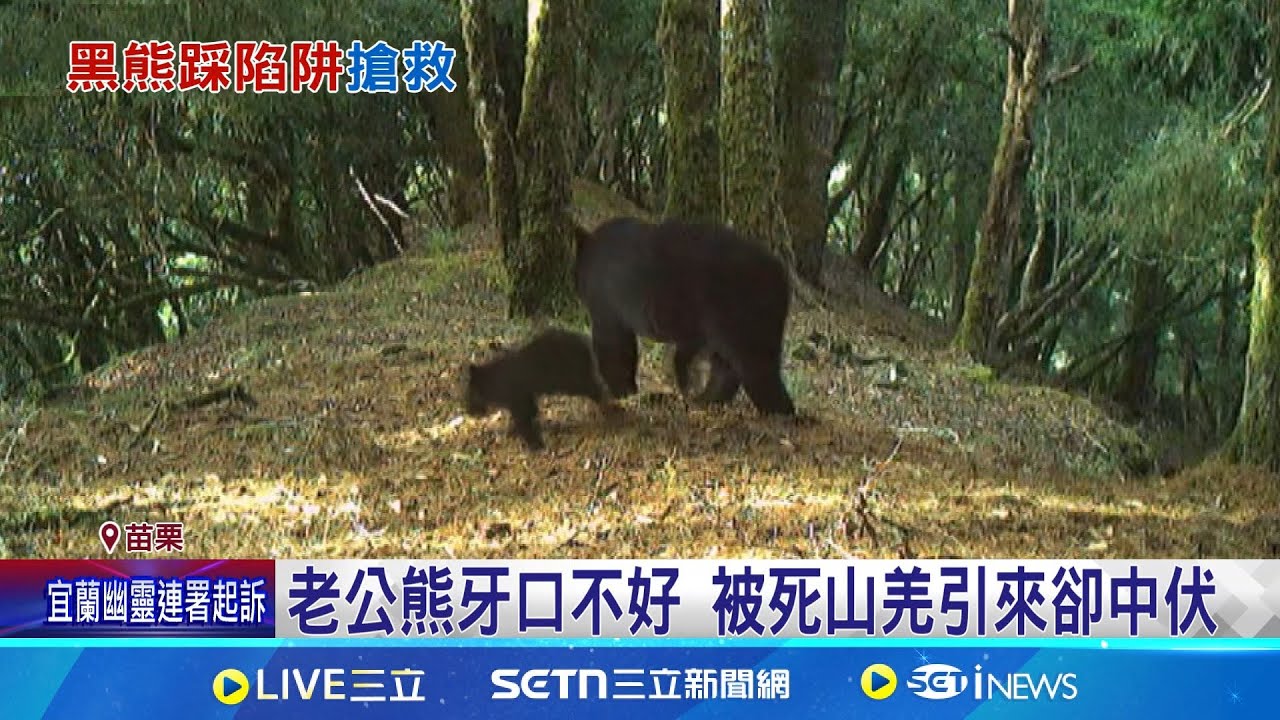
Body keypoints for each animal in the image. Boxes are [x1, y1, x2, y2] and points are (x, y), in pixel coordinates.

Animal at [464, 327, 620, 451]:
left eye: (472, 394)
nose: (469, 412)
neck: (494, 380)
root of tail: (584, 343)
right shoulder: (526, 397)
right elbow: (531, 413)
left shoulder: (518, 401)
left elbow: (524, 422)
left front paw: (535, 445)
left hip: (573, 381)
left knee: (597, 388)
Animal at [573, 216, 796, 416]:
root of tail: (780, 275)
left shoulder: (608, 307)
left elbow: (614, 348)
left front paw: (622, 392)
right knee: (726, 367)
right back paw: (707, 400)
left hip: (740, 316)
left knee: (756, 367)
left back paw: (778, 411)